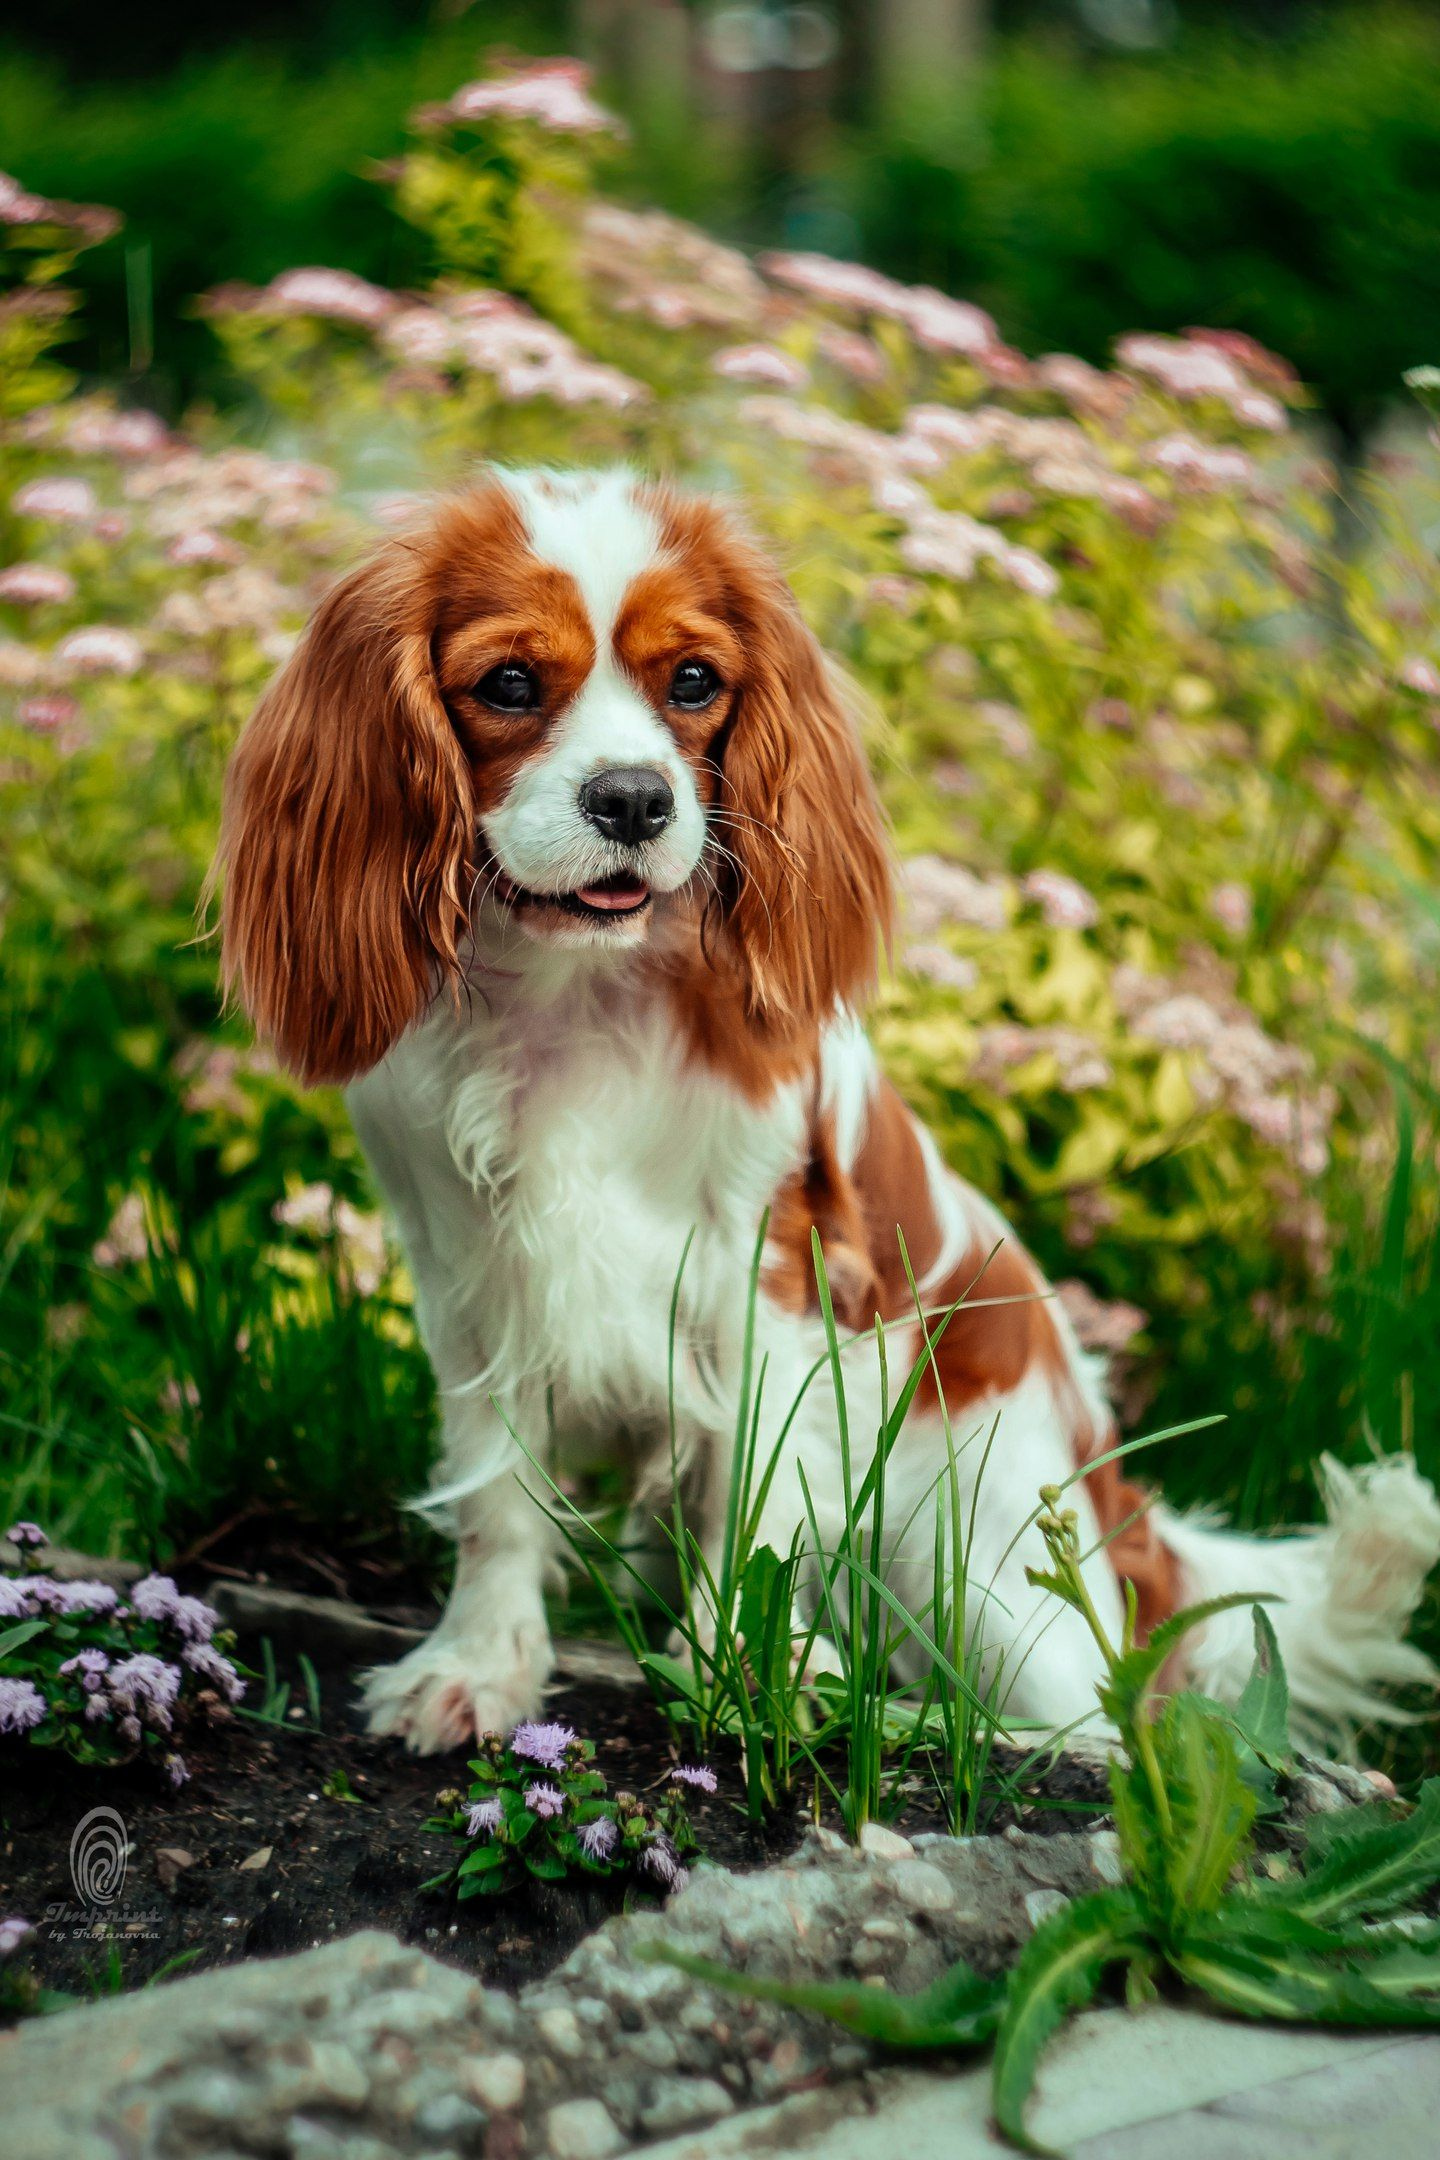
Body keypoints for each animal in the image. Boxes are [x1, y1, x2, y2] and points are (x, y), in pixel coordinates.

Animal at [220, 464, 1440, 1745]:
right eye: (508, 684)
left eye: (693, 682)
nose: (634, 800)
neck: (580, 996)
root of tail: (1121, 1505)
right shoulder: (470, 1271)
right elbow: (496, 1495)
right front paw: (479, 1668)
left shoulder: (774, 1271)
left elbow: (750, 1497)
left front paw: (743, 1668)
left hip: (981, 1564)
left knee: (1085, 1726)